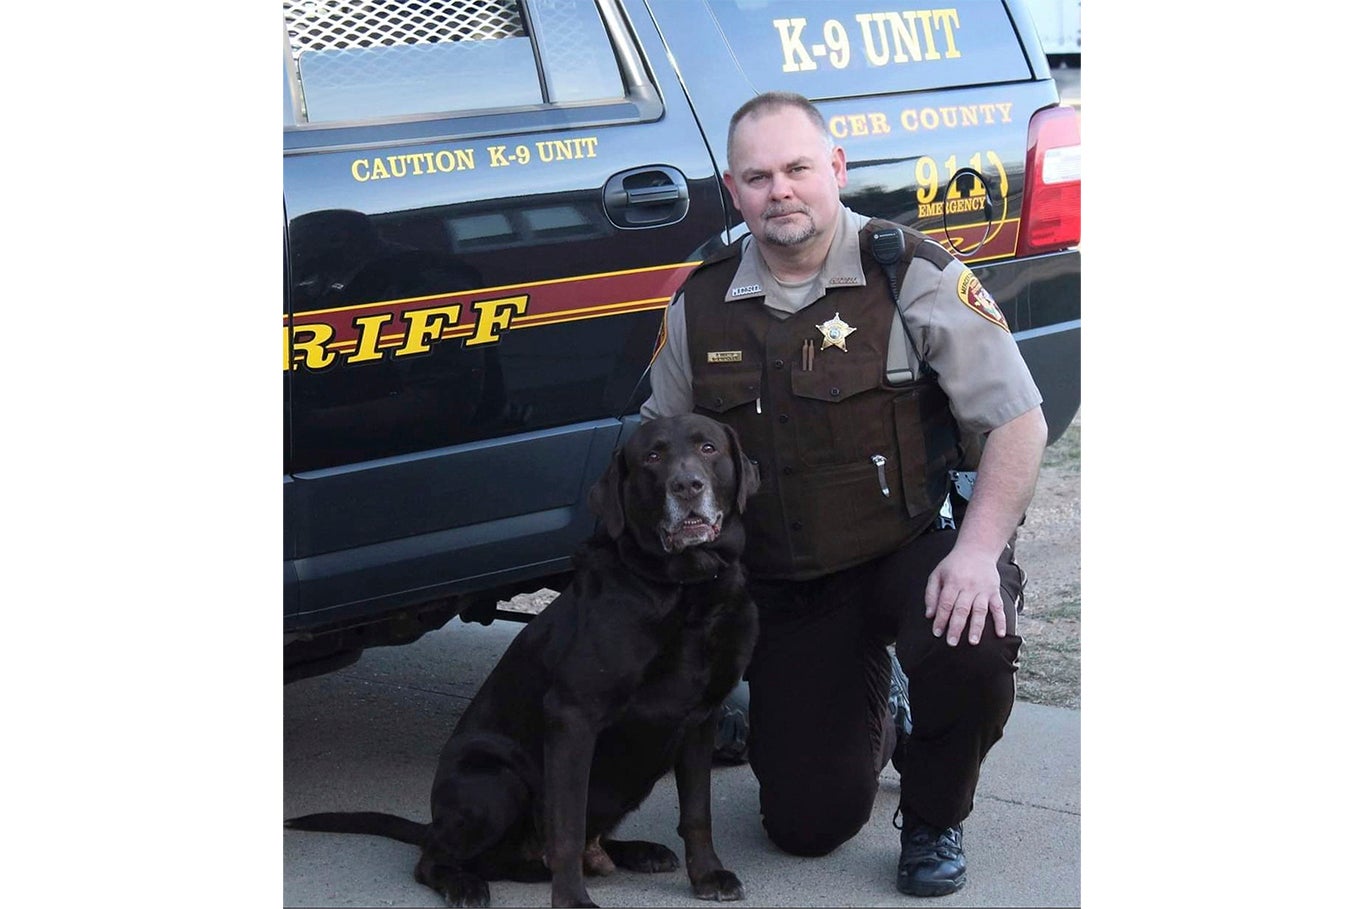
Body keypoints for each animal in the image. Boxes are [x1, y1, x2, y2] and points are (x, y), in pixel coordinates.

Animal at [285, 412, 758, 906]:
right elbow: (566, 825)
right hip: (497, 782)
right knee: (436, 858)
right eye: (652, 456)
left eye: (708, 448)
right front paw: (572, 900)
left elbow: (698, 811)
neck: (685, 591)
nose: (687, 486)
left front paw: (707, 875)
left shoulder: (701, 719)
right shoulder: (573, 716)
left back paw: (636, 851)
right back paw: (465, 883)